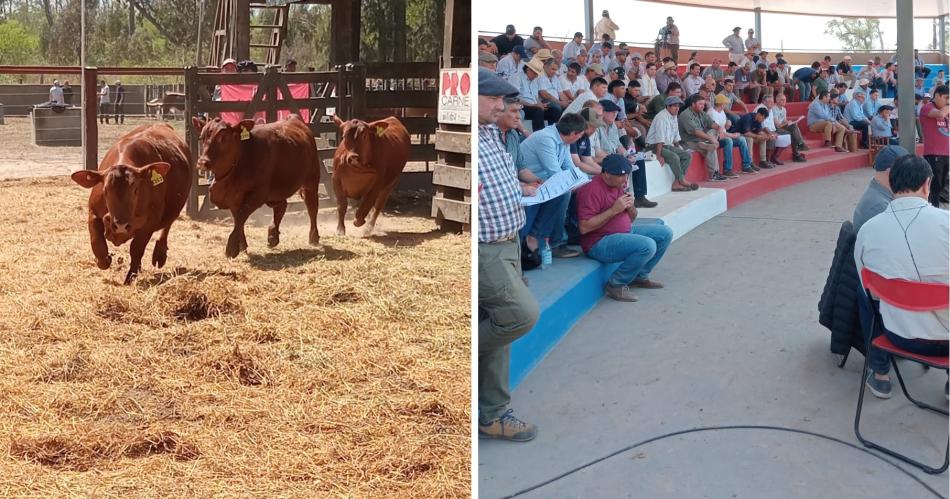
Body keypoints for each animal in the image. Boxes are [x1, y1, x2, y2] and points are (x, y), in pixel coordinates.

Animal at [70, 124, 193, 286]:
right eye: (105, 190)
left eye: (136, 190)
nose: (121, 225)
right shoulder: (93, 212)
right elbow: (97, 242)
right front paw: (104, 259)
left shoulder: (150, 223)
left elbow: (137, 248)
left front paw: (130, 277)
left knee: (167, 226)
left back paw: (159, 254)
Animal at [192, 113, 322, 258]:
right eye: (202, 137)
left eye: (223, 137)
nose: (202, 162)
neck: (242, 158)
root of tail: (294, 118)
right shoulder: (233, 198)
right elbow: (238, 218)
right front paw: (242, 245)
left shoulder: (258, 195)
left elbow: (241, 215)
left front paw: (232, 247)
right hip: (276, 193)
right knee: (281, 206)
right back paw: (273, 236)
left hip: (311, 181)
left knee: (312, 207)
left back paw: (313, 237)